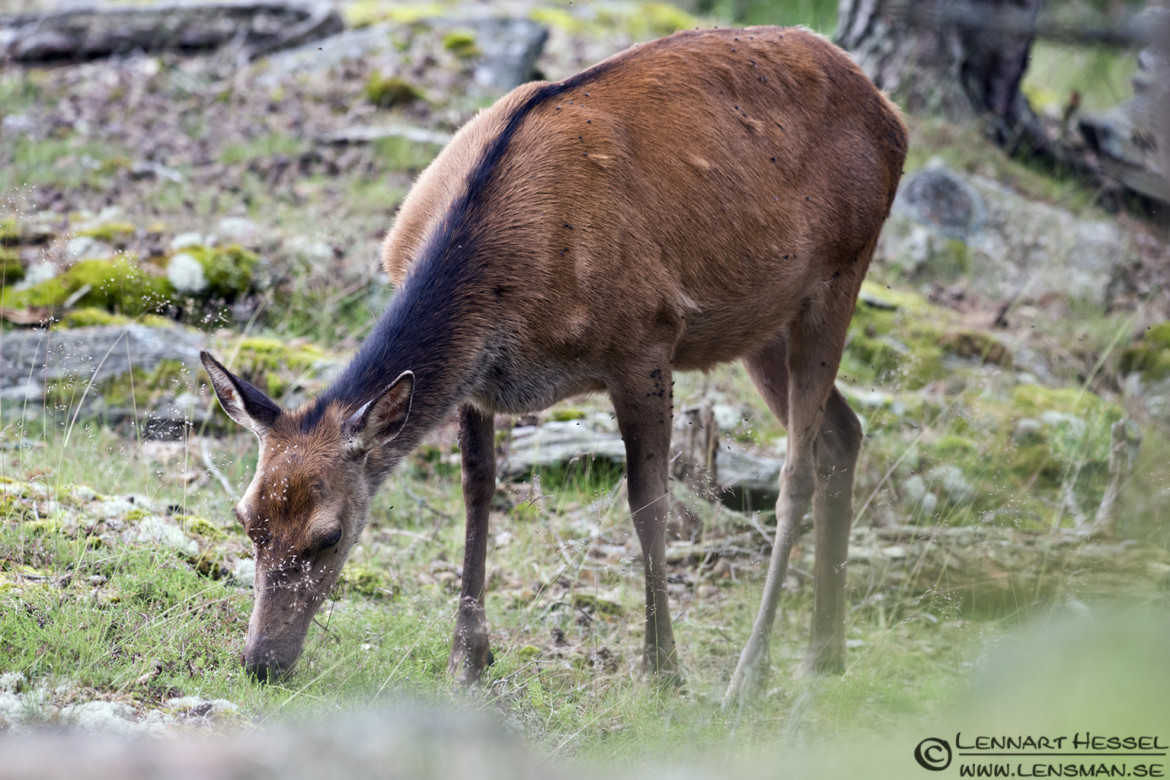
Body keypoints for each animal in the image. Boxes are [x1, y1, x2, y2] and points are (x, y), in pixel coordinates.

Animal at [200, 25, 907, 703]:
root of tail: (893, 116)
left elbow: (648, 501)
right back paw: (825, 654)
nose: (261, 663)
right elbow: (477, 489)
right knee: (842, 434)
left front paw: (662, 671)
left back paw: (751, 675)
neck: (508, 290)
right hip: (762, 321)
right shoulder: (477, 384)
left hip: (841, 269)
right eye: (247, 521)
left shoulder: (646, 339)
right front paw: (468, 660)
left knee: (797, 471)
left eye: (328, 535)